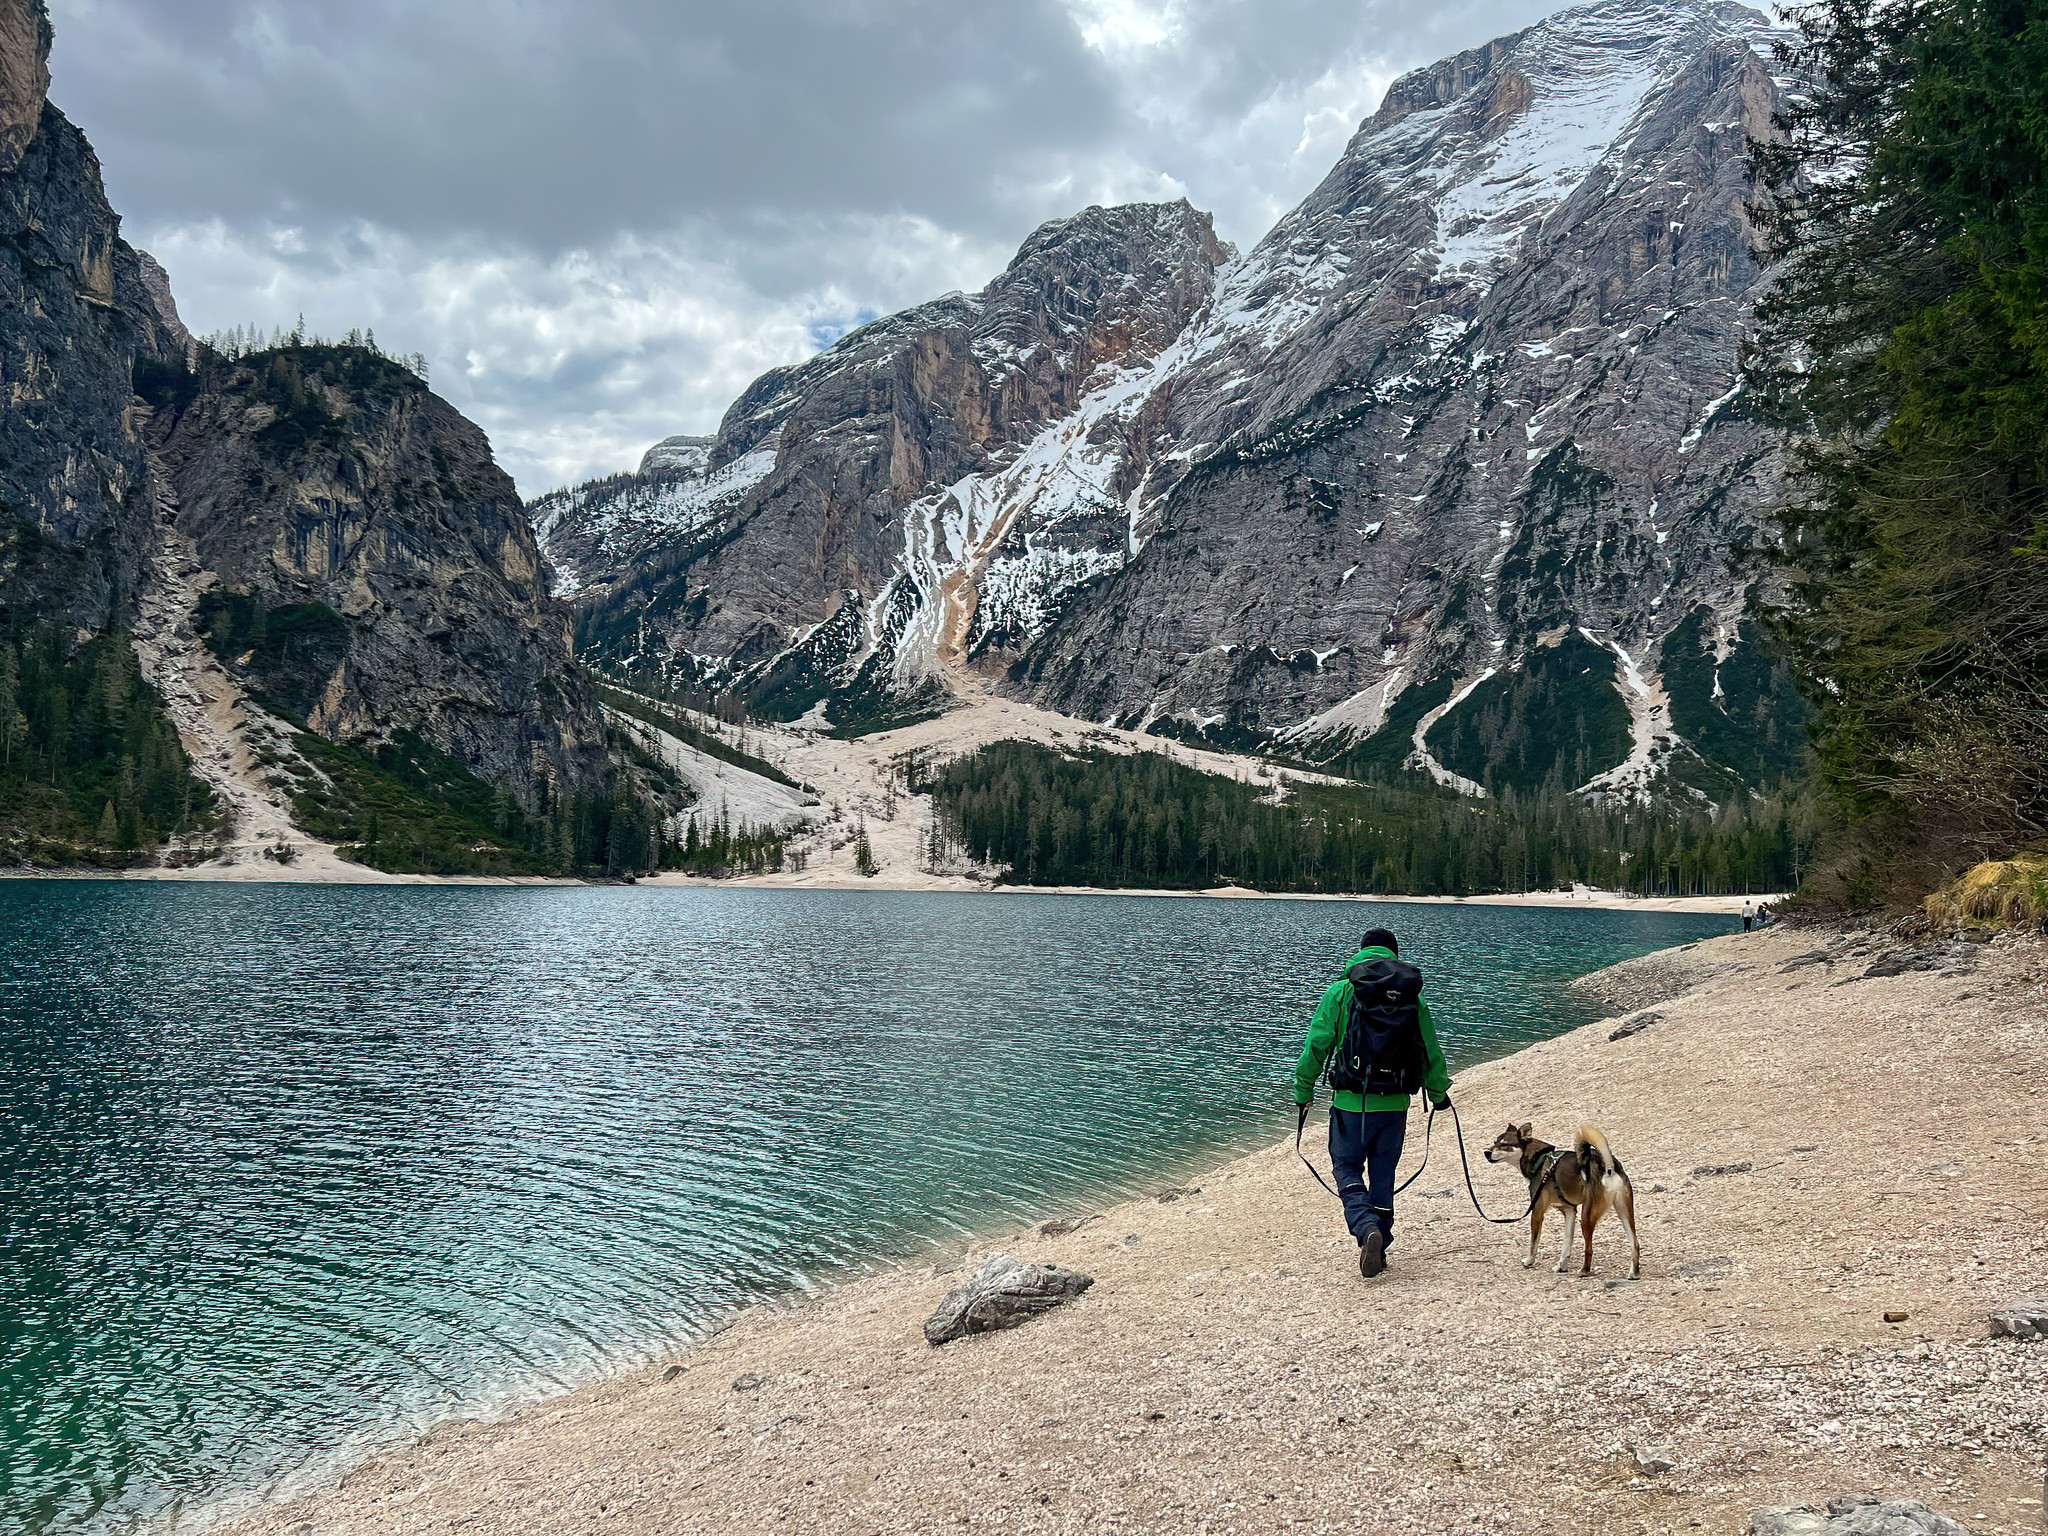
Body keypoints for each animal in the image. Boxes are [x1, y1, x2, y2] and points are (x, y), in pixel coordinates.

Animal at [1482, 1122, 1638, 1277]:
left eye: (1504, 1144)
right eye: (1495, 1142)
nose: (1486, 1152)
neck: (1539, 1159)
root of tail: (1607, 1166)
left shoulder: (1537, 1211)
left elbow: (1534, 1243)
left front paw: (1529, 1261)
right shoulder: (1569, 1211)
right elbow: (1567, 1243)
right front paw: (1562, 1265)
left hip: (1587, 1217)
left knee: (1589, 1249)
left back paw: (1584, 1270)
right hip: (1625, 1213)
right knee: (1635, 1243)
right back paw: (1634, 1272)